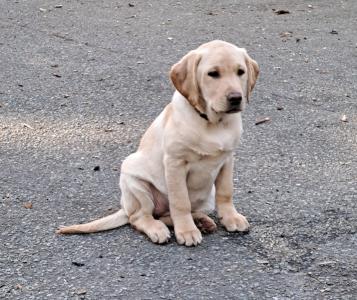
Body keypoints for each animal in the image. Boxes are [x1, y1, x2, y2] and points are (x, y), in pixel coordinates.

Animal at [56, 39, 258, 246]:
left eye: (240, 72)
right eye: (213, 74)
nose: (236, 98)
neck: (212, 123)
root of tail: (125, 207)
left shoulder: (227, 159)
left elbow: (226, 192)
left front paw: (231, 217)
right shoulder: (175, 163)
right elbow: (180, 202)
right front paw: (186, 231)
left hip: (206, 196)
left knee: (165, 215)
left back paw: (202, 221)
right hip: (135, 182)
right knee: (141, 217)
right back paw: (160, 229)